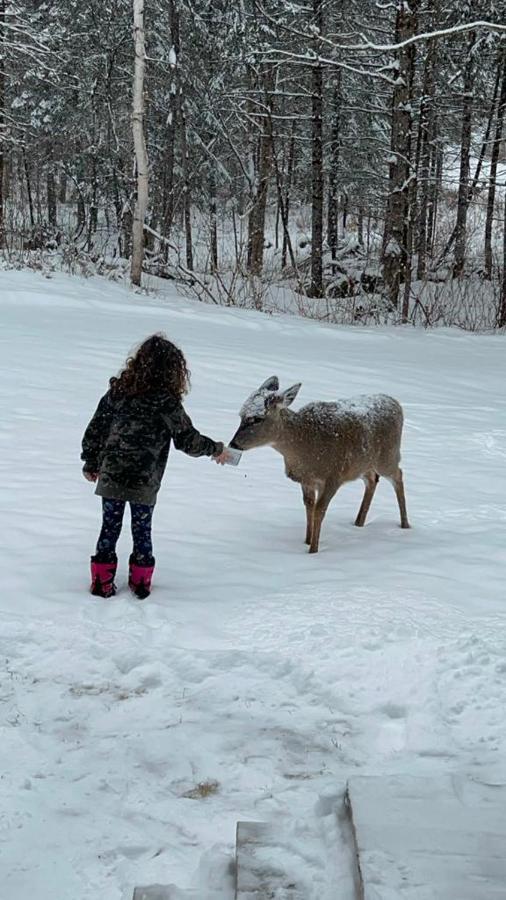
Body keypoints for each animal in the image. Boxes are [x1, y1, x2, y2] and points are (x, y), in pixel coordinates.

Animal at [231, 376, 410, 552]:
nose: (233, 444)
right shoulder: (306, 480)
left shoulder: (333, 477)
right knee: (372, 479)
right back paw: (359, 522)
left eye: (257, 418)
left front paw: (313, 550)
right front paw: (307, 541)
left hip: (388, 456)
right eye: (241, 415)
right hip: (363, 464)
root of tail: (395, 403)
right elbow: (309, 506)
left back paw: (405, 525)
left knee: (398, 475)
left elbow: (319, 511)